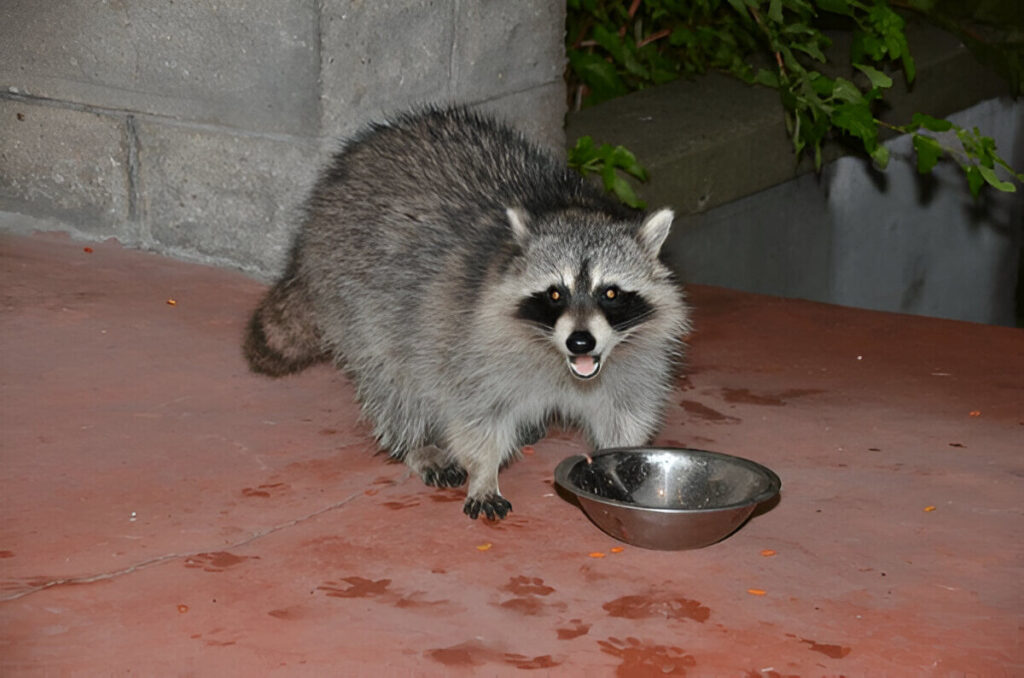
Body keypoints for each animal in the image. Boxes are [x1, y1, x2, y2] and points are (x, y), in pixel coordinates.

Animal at [241, 104, 688, 520]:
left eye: (609, 293)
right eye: (554, 294)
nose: (581, 341)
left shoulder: (635, 359)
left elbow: (625, 414)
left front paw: (619, 463)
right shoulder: (469, 342)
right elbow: (475, 416)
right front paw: (483, 472)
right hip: (354, 290)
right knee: (391, 377)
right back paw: (416, 441)